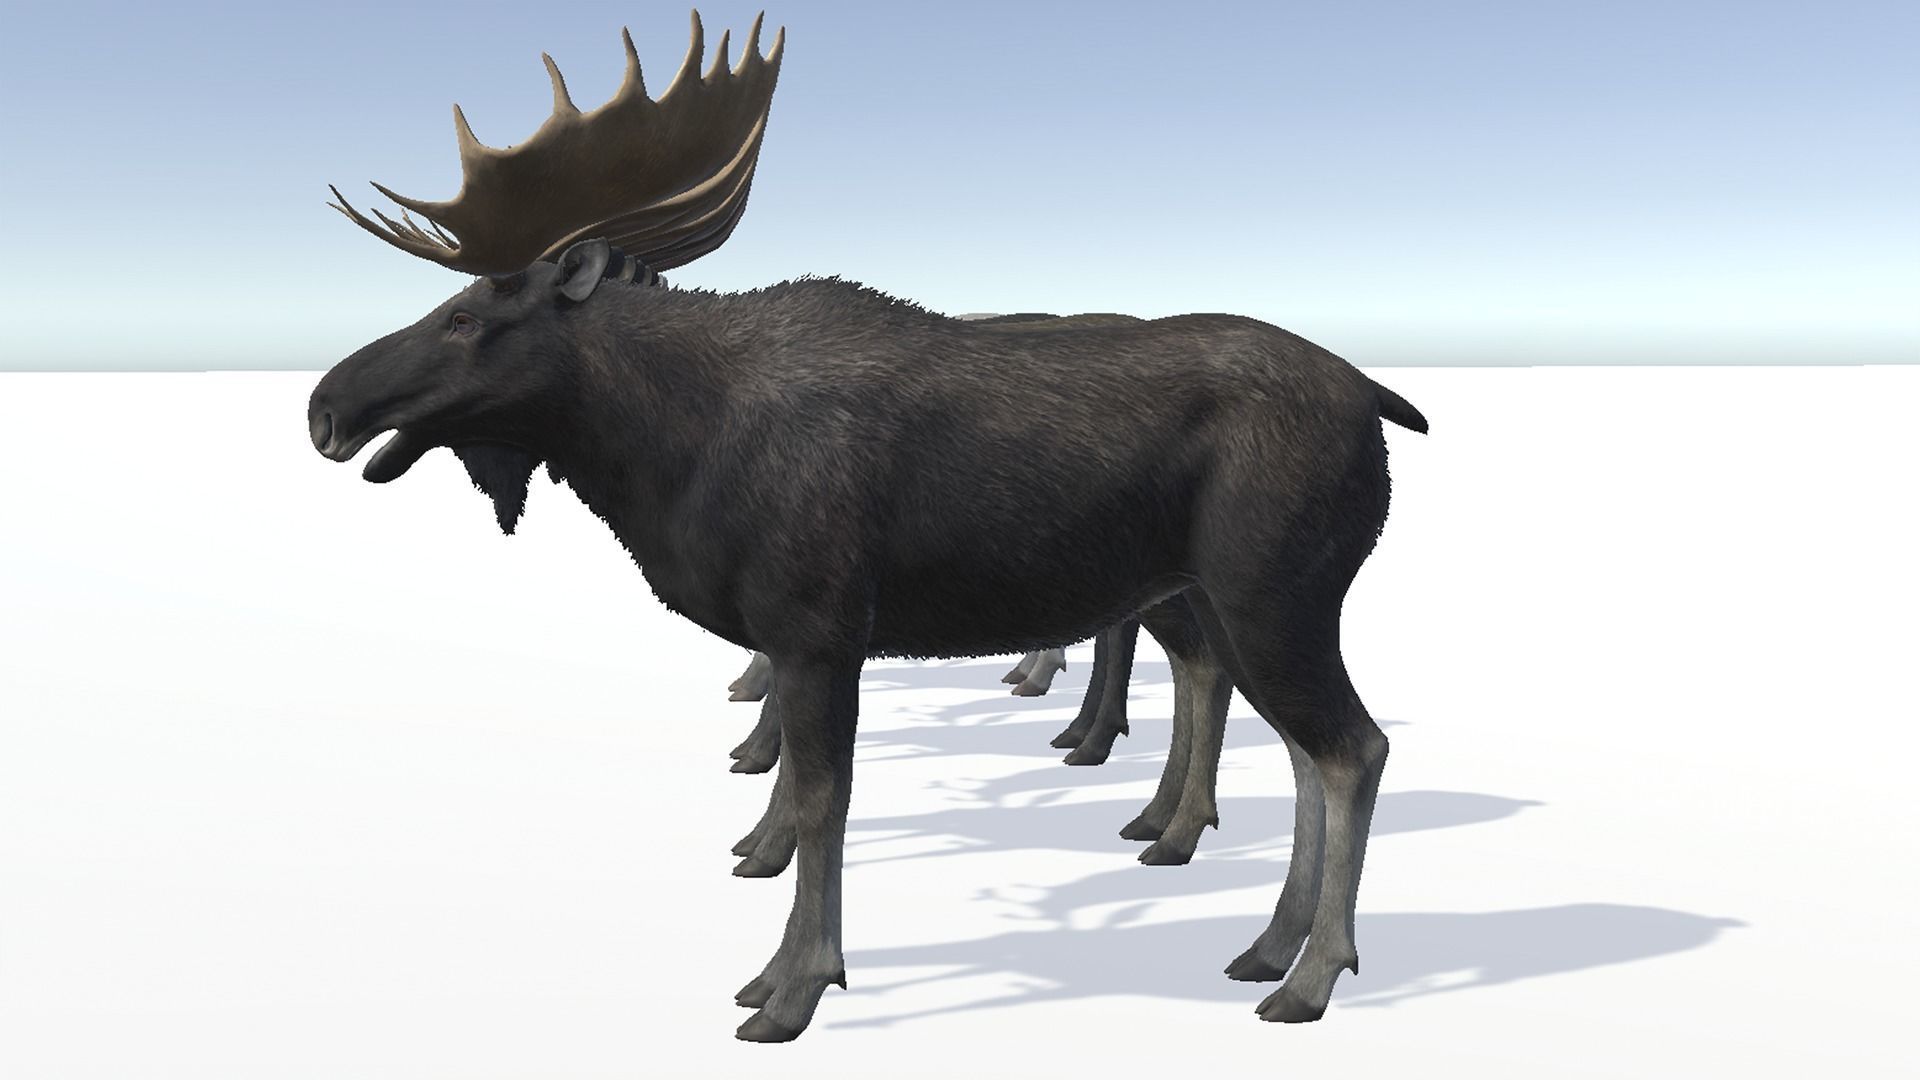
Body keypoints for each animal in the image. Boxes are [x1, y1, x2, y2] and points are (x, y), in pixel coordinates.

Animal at [309, 9, 1428, 1041]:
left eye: (466, 316)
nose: (325, 407)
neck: (669, 453)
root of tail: (1378, 398)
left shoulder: (817, 630)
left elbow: (820, 802)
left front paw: (789, 987)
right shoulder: (795, 637)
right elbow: (798, 791)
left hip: (1273, 593)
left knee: (1353, 748)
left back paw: (1308, 973)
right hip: (1222, 603)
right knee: (1291, 741)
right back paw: (1259, 933)